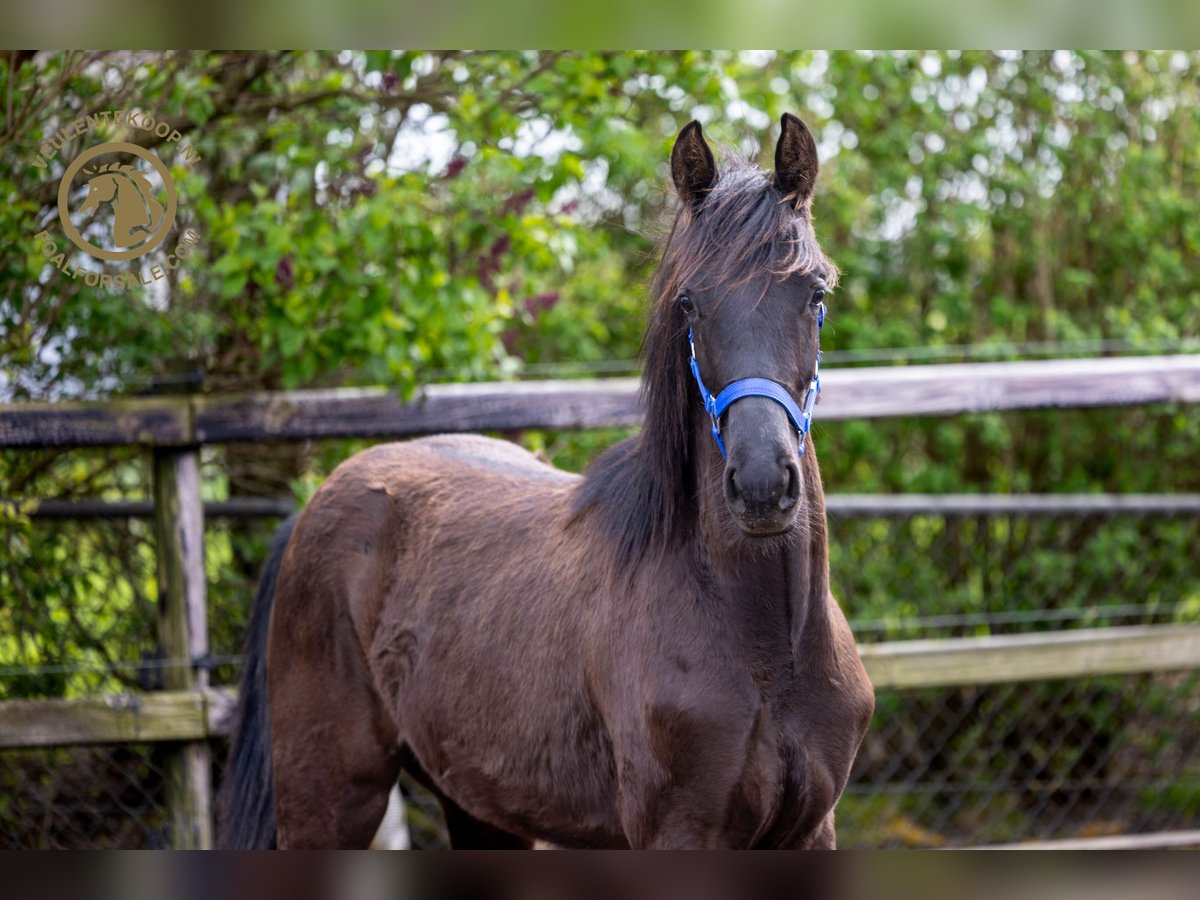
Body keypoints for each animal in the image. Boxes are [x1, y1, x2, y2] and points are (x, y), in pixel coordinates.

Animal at [218, 114, 873, 854]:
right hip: (328, 801)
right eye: (688, 303)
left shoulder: (811, 830)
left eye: (815, 294)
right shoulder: (677, 832)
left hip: (478, 807)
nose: (761, 485)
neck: (770, 652)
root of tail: (313, 506)